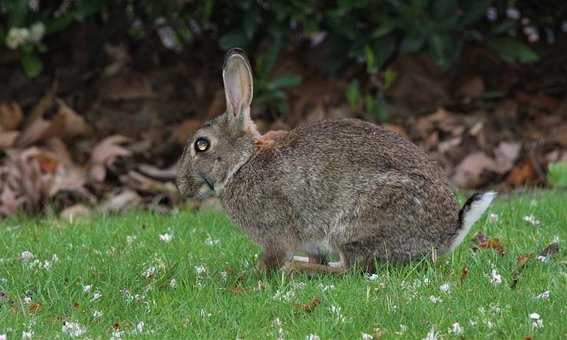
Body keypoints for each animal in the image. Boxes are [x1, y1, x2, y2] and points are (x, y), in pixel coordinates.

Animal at [175, 47, 494, 272]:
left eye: (201, 145)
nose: (181, 186)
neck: (241, 163)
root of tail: (447, 234)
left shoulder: (275, 233)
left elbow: (271, 259)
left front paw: (248, 276)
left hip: (354, 224)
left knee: (352, 269)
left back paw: (297, 269)